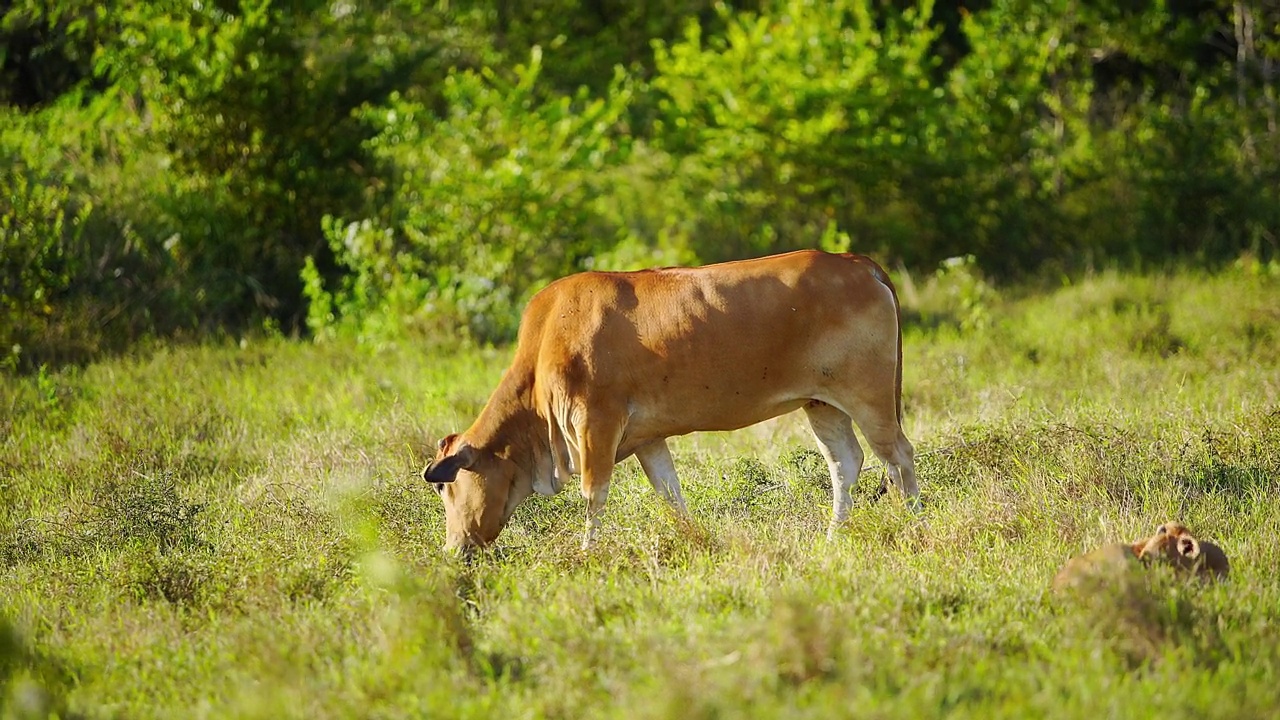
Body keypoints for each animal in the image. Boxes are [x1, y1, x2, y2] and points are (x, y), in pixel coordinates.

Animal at [424, 248, 916, 548]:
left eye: (447, 486)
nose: (453, 548)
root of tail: (857, 262)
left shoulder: (596, 423)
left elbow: (594, 495)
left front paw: (586, 552)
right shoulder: (647, 438)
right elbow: (670, 493)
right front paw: (695, 539)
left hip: (869, 397)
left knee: (899, 456)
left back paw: (915, 522)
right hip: (823, 404)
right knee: (845, 463)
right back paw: (833, 536)